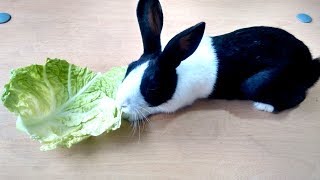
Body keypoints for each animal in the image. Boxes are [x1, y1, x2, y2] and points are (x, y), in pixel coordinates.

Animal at [115, 0, 320, 121]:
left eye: (153, 87)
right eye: (129, 68)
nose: (120, 104)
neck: (177, 69)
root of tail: (308, 62)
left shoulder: (174, 103)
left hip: (255, 85)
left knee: (298, 97)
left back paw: (264, 106)